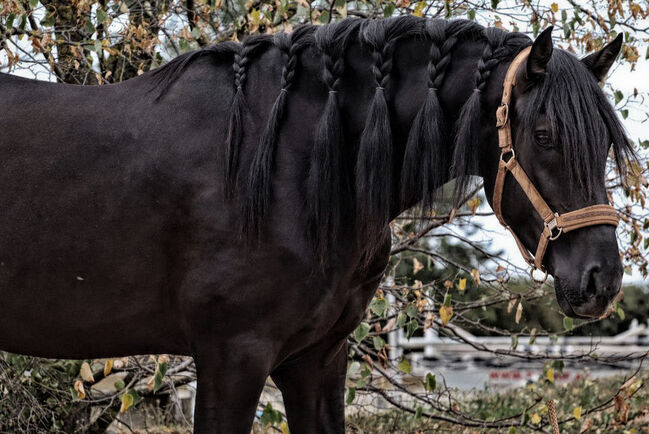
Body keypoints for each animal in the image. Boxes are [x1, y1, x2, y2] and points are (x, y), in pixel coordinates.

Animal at [0, 15, 632, 432]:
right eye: (545, 137)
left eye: (605, 143)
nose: (601, 280)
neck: (285, 164)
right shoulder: (232, 358)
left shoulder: (317, 362)